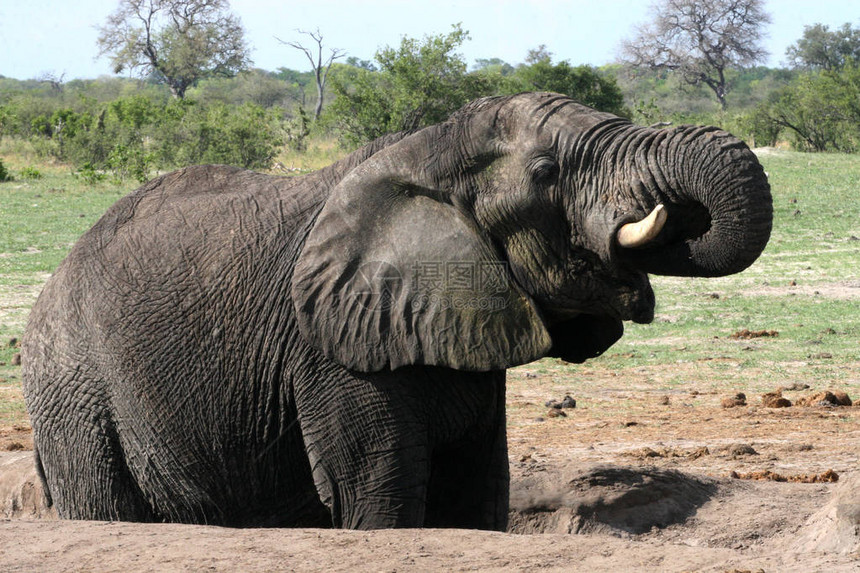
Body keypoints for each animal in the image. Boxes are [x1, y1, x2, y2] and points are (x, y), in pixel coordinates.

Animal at [21, 92, 772, 528]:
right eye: (546, 174)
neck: (428, 149)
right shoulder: (331, 350)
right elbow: (378, 491)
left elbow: (477, 490)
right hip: (72, 390)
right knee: (100, 502)